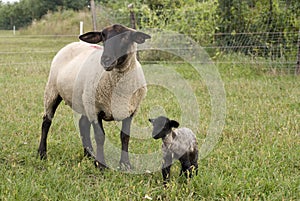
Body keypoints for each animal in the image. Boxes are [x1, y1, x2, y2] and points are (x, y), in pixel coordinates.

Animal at [38, 24, 151, 170]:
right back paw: (42, 153)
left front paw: (125, 164)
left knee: (82, 125)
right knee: (46, 121)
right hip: (52, 91)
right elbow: (100, 137)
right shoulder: (95, 109)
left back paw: (89, 155)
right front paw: (101, 165)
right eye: (103, 36)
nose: (106, 60)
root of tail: (74, 43)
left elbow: (125, 137)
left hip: (84, 100)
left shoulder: (131, 111)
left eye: (125, 37)